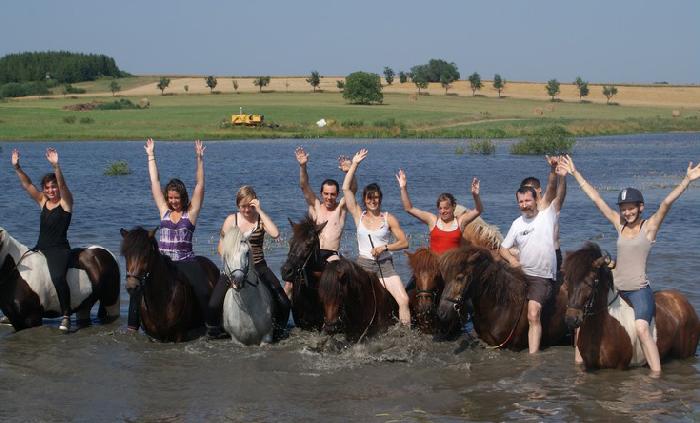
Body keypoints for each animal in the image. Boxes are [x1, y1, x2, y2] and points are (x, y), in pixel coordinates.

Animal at [564, 243, 700, 370]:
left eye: (591, 282)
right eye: (567, 281)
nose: (571, 319)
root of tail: (683, 301)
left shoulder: (619, 366)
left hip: (685, 353)